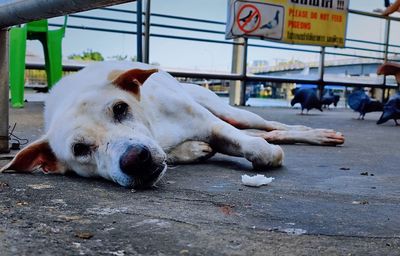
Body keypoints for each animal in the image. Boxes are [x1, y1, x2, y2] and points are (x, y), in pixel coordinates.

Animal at [0, 61, 344, 187]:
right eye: (80, 149)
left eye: (121, 108)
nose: (135, 159)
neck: (155, 126)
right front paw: (193, 150)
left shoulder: (207, 122)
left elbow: (254, 146)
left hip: (227, 109)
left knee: (265, 125)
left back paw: (314, 134)